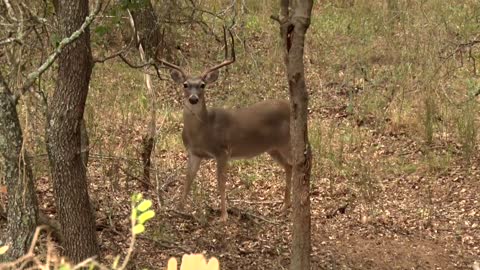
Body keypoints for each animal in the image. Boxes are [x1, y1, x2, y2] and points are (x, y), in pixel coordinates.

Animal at [158, 29, 292, 221]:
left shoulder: (223, 151)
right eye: (185, 84)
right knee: (289, 166)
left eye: (202, 85)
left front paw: (223, 216)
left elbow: (221, 182)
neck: (203, 130)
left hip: (287, 141)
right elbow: (188, 179)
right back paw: (285, 205)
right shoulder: (194, 153)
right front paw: (178, 208)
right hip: (273, 148)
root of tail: (290, 106)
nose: (193, 99)